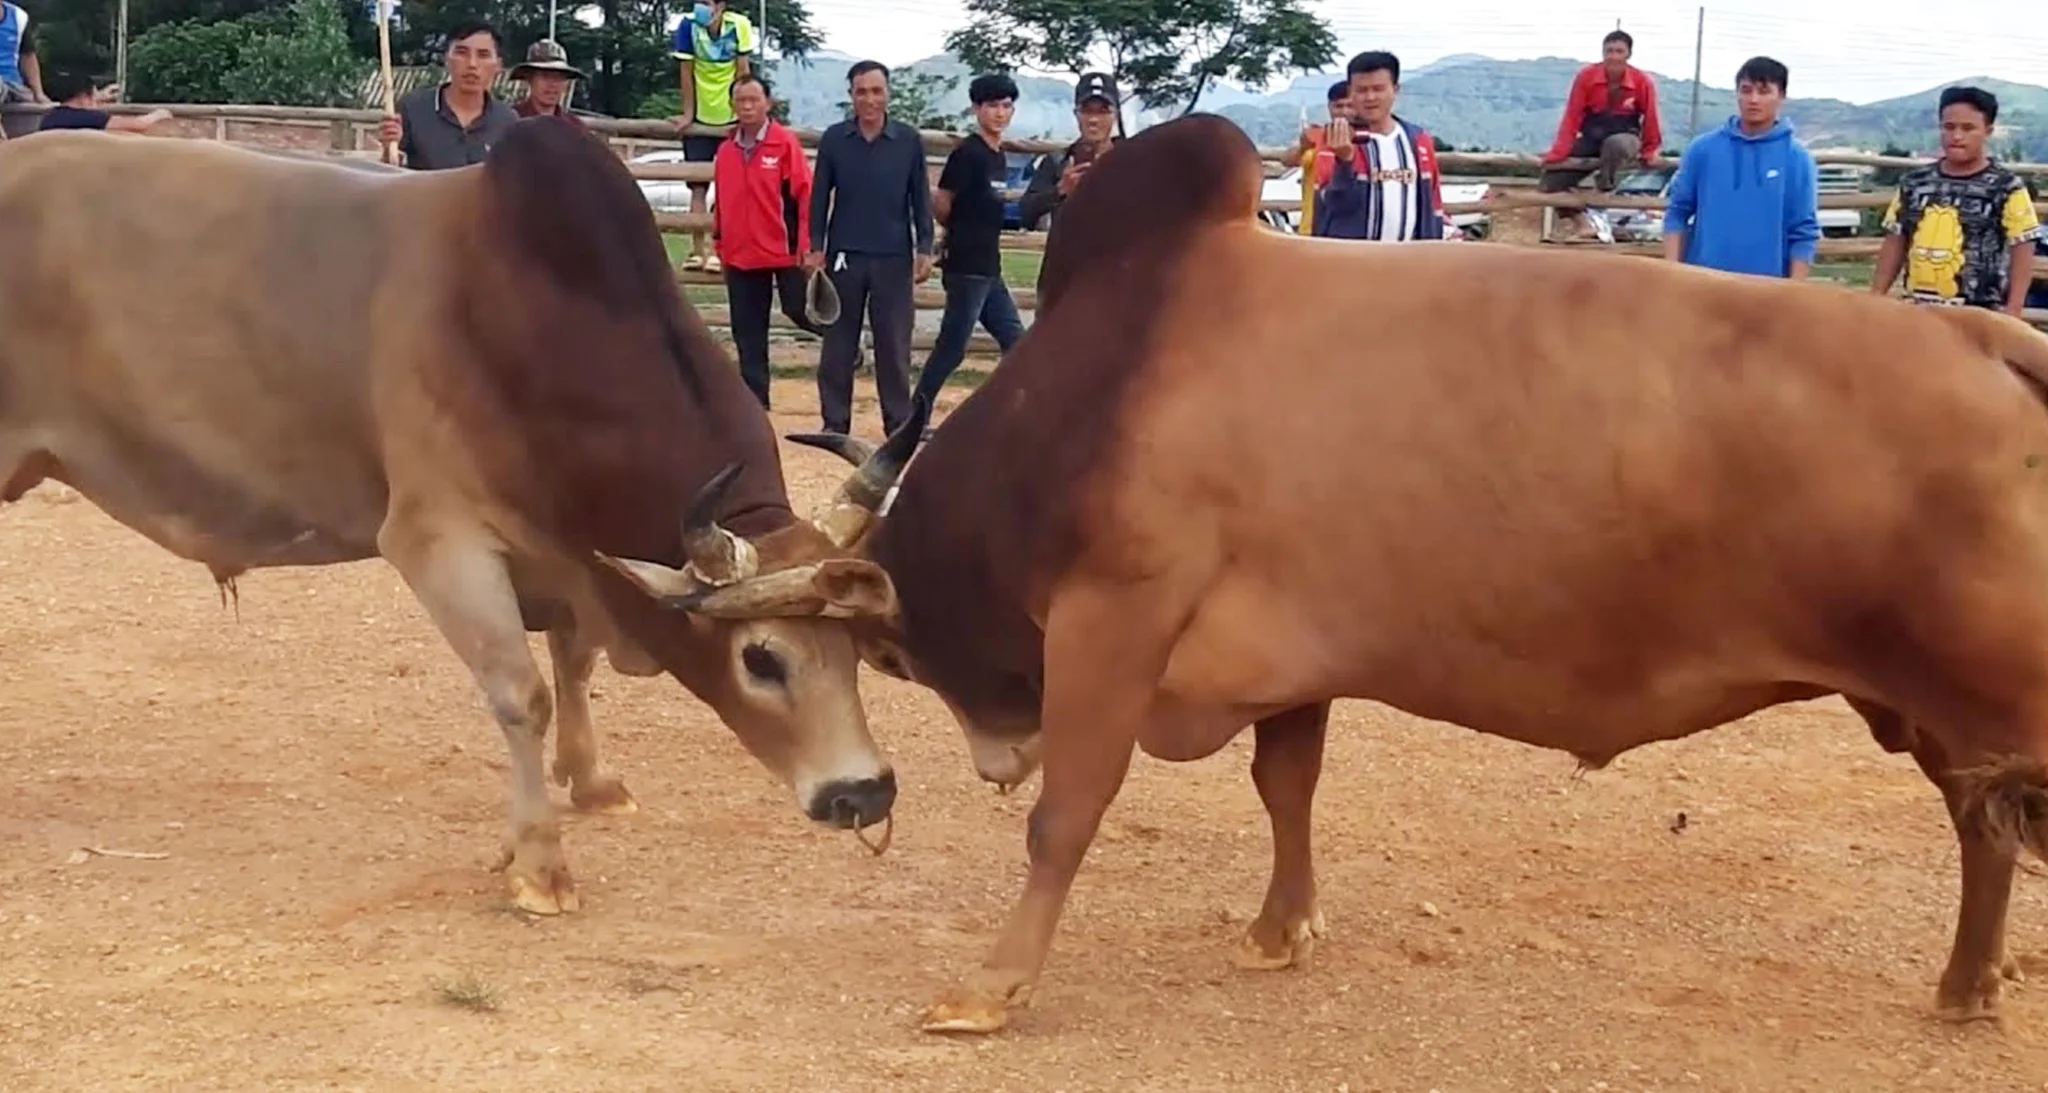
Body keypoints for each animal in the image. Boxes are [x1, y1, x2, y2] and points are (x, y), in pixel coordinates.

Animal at [0, 117, 919, 917]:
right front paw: (540, 865)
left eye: (857, 646)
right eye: (761, 658)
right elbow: (522, 695)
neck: (518, 321)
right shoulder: (438, 540)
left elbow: (574, 664)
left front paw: (590, 782)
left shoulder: (570, 554)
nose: (864, 791)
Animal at [652, 111, 2048, 1034]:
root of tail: (1987, 339)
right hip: (1935, 712)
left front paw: (990, 987)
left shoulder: (1114, 619)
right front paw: (1280, 930)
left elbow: (1070, 813)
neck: (1095, 389)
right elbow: (1287, 786)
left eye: (883, 653)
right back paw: (1963, 982)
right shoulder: (1286, 659)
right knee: (1979, 832)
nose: (989, 757)